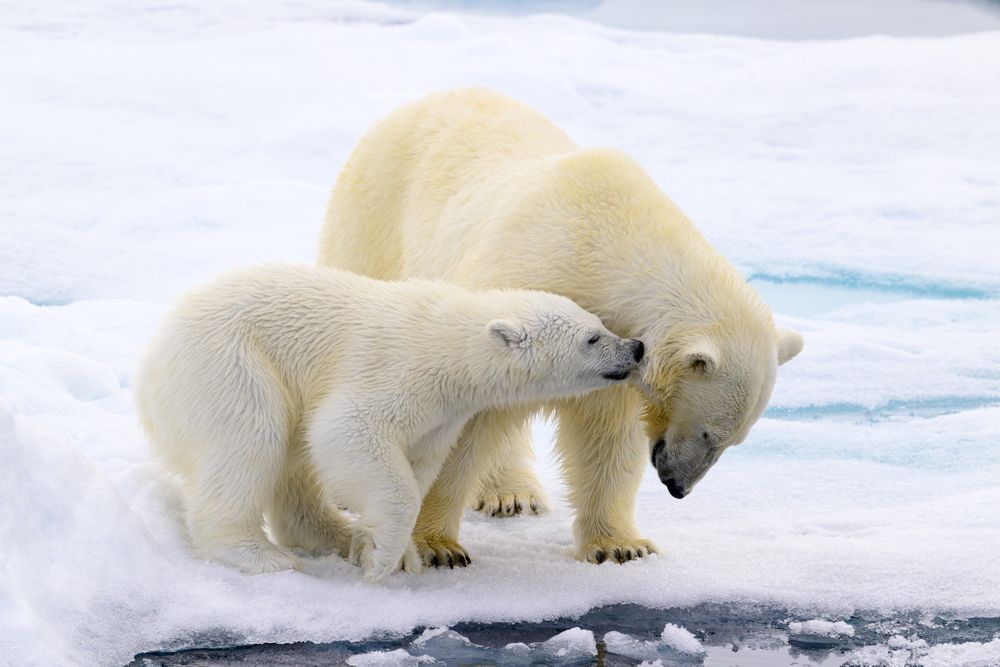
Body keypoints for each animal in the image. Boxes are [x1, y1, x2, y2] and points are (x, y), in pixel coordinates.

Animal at [134, 263, 643, 581]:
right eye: (592, 338)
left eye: (600, 322)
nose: (636, 347)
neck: (449, 345)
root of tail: (149, 369)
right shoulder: (394, 369)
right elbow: (347, 432)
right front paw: (382, 558)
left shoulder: (441, 415)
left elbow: (417, 465)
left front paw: (383, 548)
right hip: (231, 366)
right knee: (250, 441)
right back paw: (258, 555)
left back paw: (335, 533)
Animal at [318, 88, 803, 567]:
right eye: (710, 434)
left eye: (734, 442)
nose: (678, 487)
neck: (606, 243)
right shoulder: (524, 284)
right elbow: (464, 425)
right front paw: (435, 546)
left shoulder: (618, 358)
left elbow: (605, 439)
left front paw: (622, 546)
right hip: (374, 222)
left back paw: (512, 494)